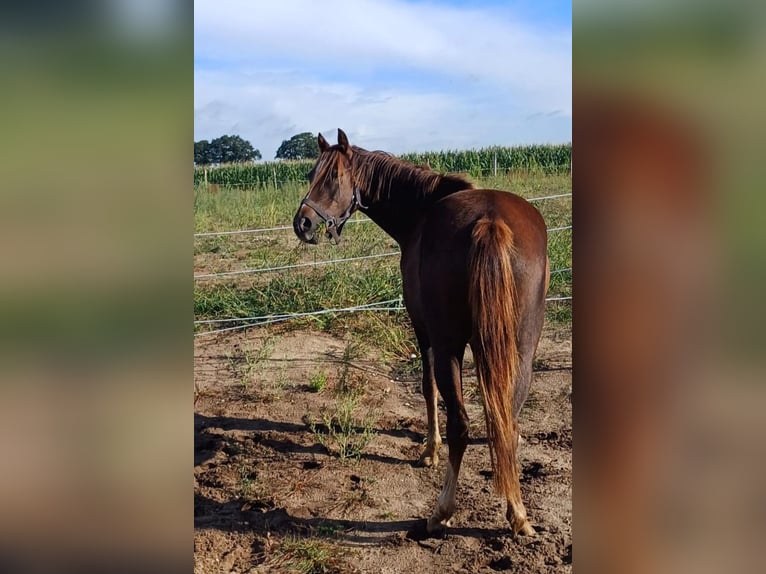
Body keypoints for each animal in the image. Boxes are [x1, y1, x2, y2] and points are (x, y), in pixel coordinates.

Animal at [294, 129, 552, 536]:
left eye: (333, 177)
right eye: (309, 174)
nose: (302, 224)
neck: (421, 211)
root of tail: (491, 222)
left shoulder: (423, 331)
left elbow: (427, 387)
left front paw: (429, 451)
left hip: (449, 347)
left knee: (460, 424)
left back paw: (441, 512)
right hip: (522, 350)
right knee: (507, 420)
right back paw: (518, 515)